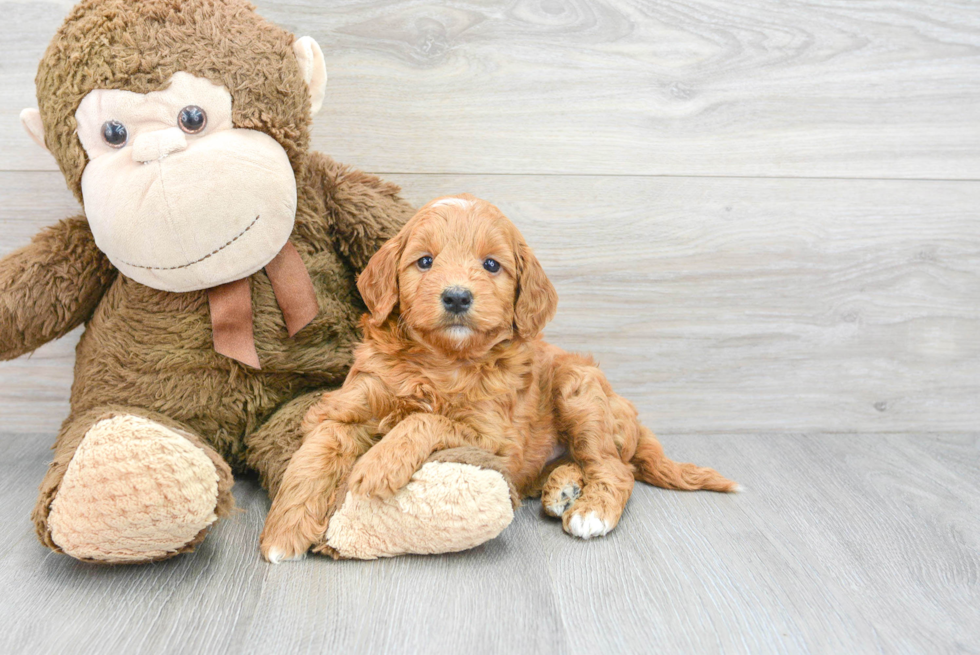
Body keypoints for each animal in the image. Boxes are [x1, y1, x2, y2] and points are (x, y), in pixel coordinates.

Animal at [260, 193, 736, 560]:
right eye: (424, 262)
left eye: (491, 265)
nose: (456, 297)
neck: (442, 361)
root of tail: (631, 415)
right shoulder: (347, 405)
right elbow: (315, 455)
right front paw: (282, 532)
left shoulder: (493, 434)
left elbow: (426, 419)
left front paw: (379, 463)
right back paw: (563, 488)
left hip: (578, 391)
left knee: (614, 468)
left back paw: (590, 510)